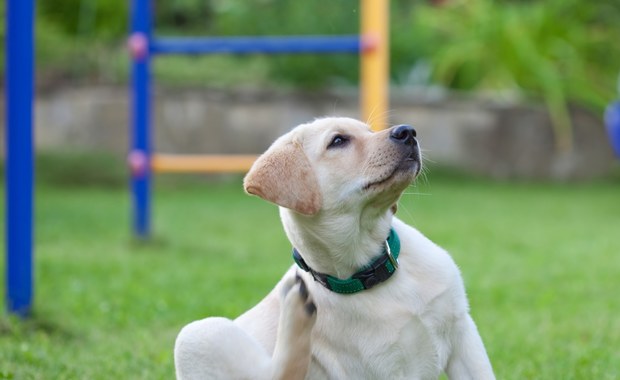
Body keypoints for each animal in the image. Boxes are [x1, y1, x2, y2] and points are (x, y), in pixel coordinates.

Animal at [174, 117, 494, 378]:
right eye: (338, 141)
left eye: (370, 131)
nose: (408, 132)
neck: (372, 269)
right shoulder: (386, 369)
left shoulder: (464, 335)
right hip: (196, 334)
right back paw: (296, 311)